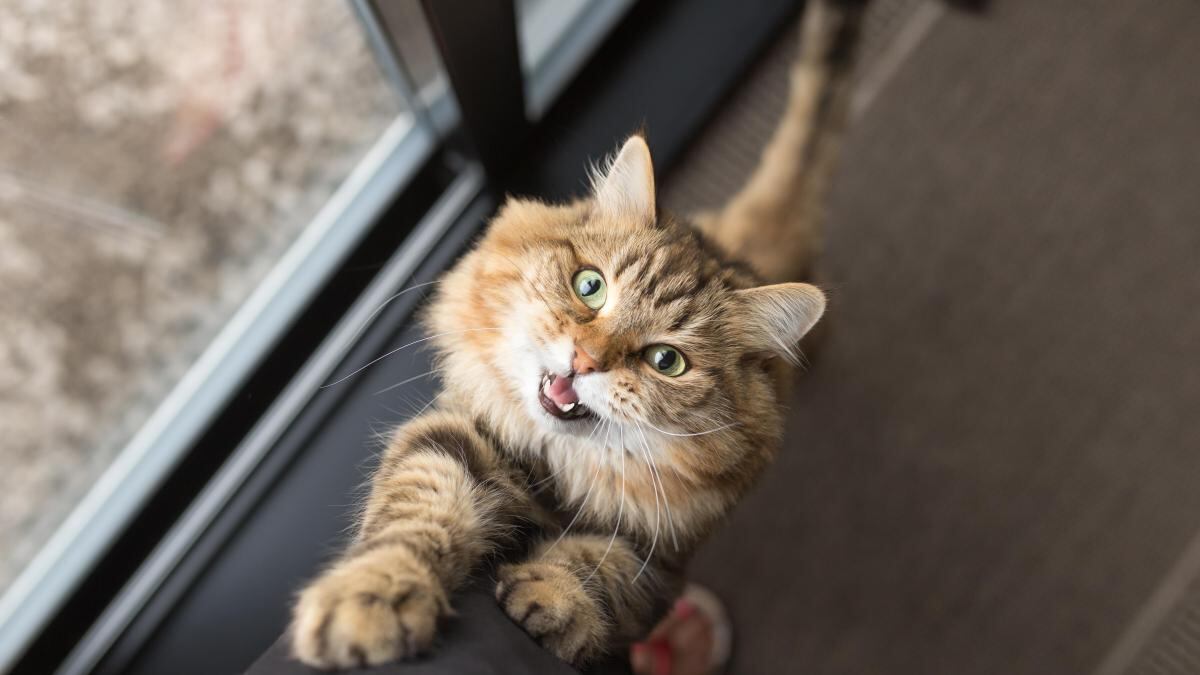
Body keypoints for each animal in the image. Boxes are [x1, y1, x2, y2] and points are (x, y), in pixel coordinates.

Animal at [292, 0, 864, 662]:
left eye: (666, 361)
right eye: (590, 286)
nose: (586, 360)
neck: (556, 473)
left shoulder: (661, 558)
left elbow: (600, 569)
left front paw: (549, 595)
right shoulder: (459, 434)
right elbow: (418, 508)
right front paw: (373, 600)